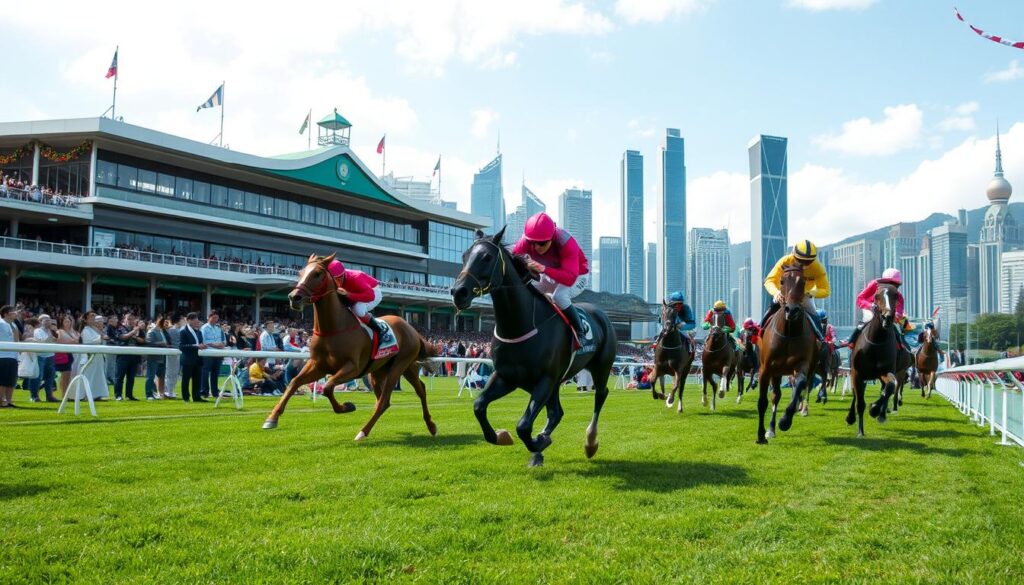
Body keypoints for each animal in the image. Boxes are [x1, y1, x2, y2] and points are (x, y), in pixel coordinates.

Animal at [260, 254, 436, 442]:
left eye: (317, 274)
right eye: (300, 272)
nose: (294, 297)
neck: (333, 328)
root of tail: (412, 329)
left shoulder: (353, 367)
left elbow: (328, 387)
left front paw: (347, 406)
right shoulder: (318, 365)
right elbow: (294, 382)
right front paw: (271, 418)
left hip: (400, 366)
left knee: (387, 401)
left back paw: (364, 431)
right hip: (386, 369)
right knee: (408, 393)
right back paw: (429, 426)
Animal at [450, 227, 614, 467]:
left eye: (487, 257)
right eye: (463, 256)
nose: (458, 292)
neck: (520, 325)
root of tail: (602, 314)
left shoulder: (544, 379)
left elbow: (523, 425)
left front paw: (539, 442)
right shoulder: (507, 377)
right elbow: (479, 405)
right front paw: (501, 436)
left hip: (600, 367)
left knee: (600, 395)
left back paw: (590, 442)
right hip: (556, 382)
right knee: (556, 412)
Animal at [753, 266, 815, 444]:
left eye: (803, 282)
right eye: (782, 281)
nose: (792, 310)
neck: (788, 333)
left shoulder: (802, 364)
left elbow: (800, 385)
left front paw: (785, 420)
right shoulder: (765, 368)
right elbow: (763, 401)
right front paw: (761, 435)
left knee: (792, 392)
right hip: (776, 371)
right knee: (775, 396)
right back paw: (770, 430)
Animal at [847, 280, 897, 436]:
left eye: (896, 295)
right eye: (876, 296)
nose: (887, 317)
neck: (876, 341)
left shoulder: (884, 371)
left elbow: (890, 386)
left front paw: (875, 409)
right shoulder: (857, 373)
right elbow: (860, 403)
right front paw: (860, 432)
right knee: (856, 395)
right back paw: (850, 417)